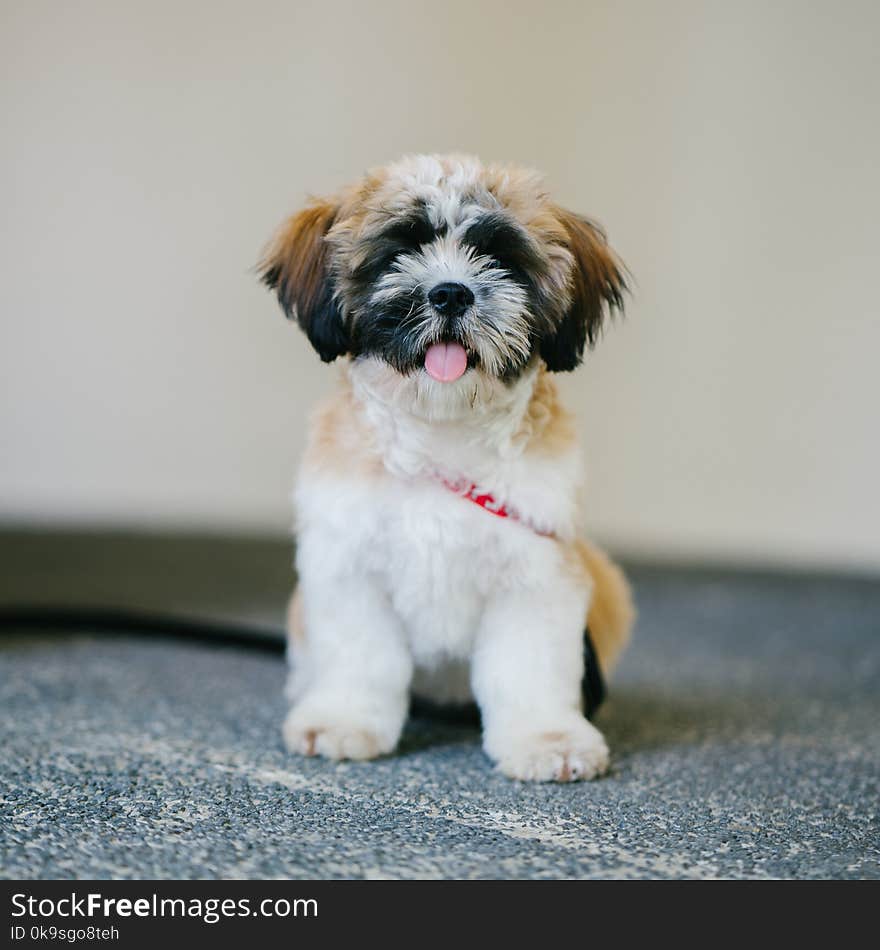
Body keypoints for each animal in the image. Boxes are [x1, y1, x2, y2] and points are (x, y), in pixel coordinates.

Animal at [258, 154, 636, 780]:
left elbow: (529, 668)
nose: (451, 293)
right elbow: (361, 657)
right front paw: (342, 720)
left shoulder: (538, 570)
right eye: (400, 251)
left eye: (498, 257)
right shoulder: (348, 565)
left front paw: (548, 738)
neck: (441, 435)